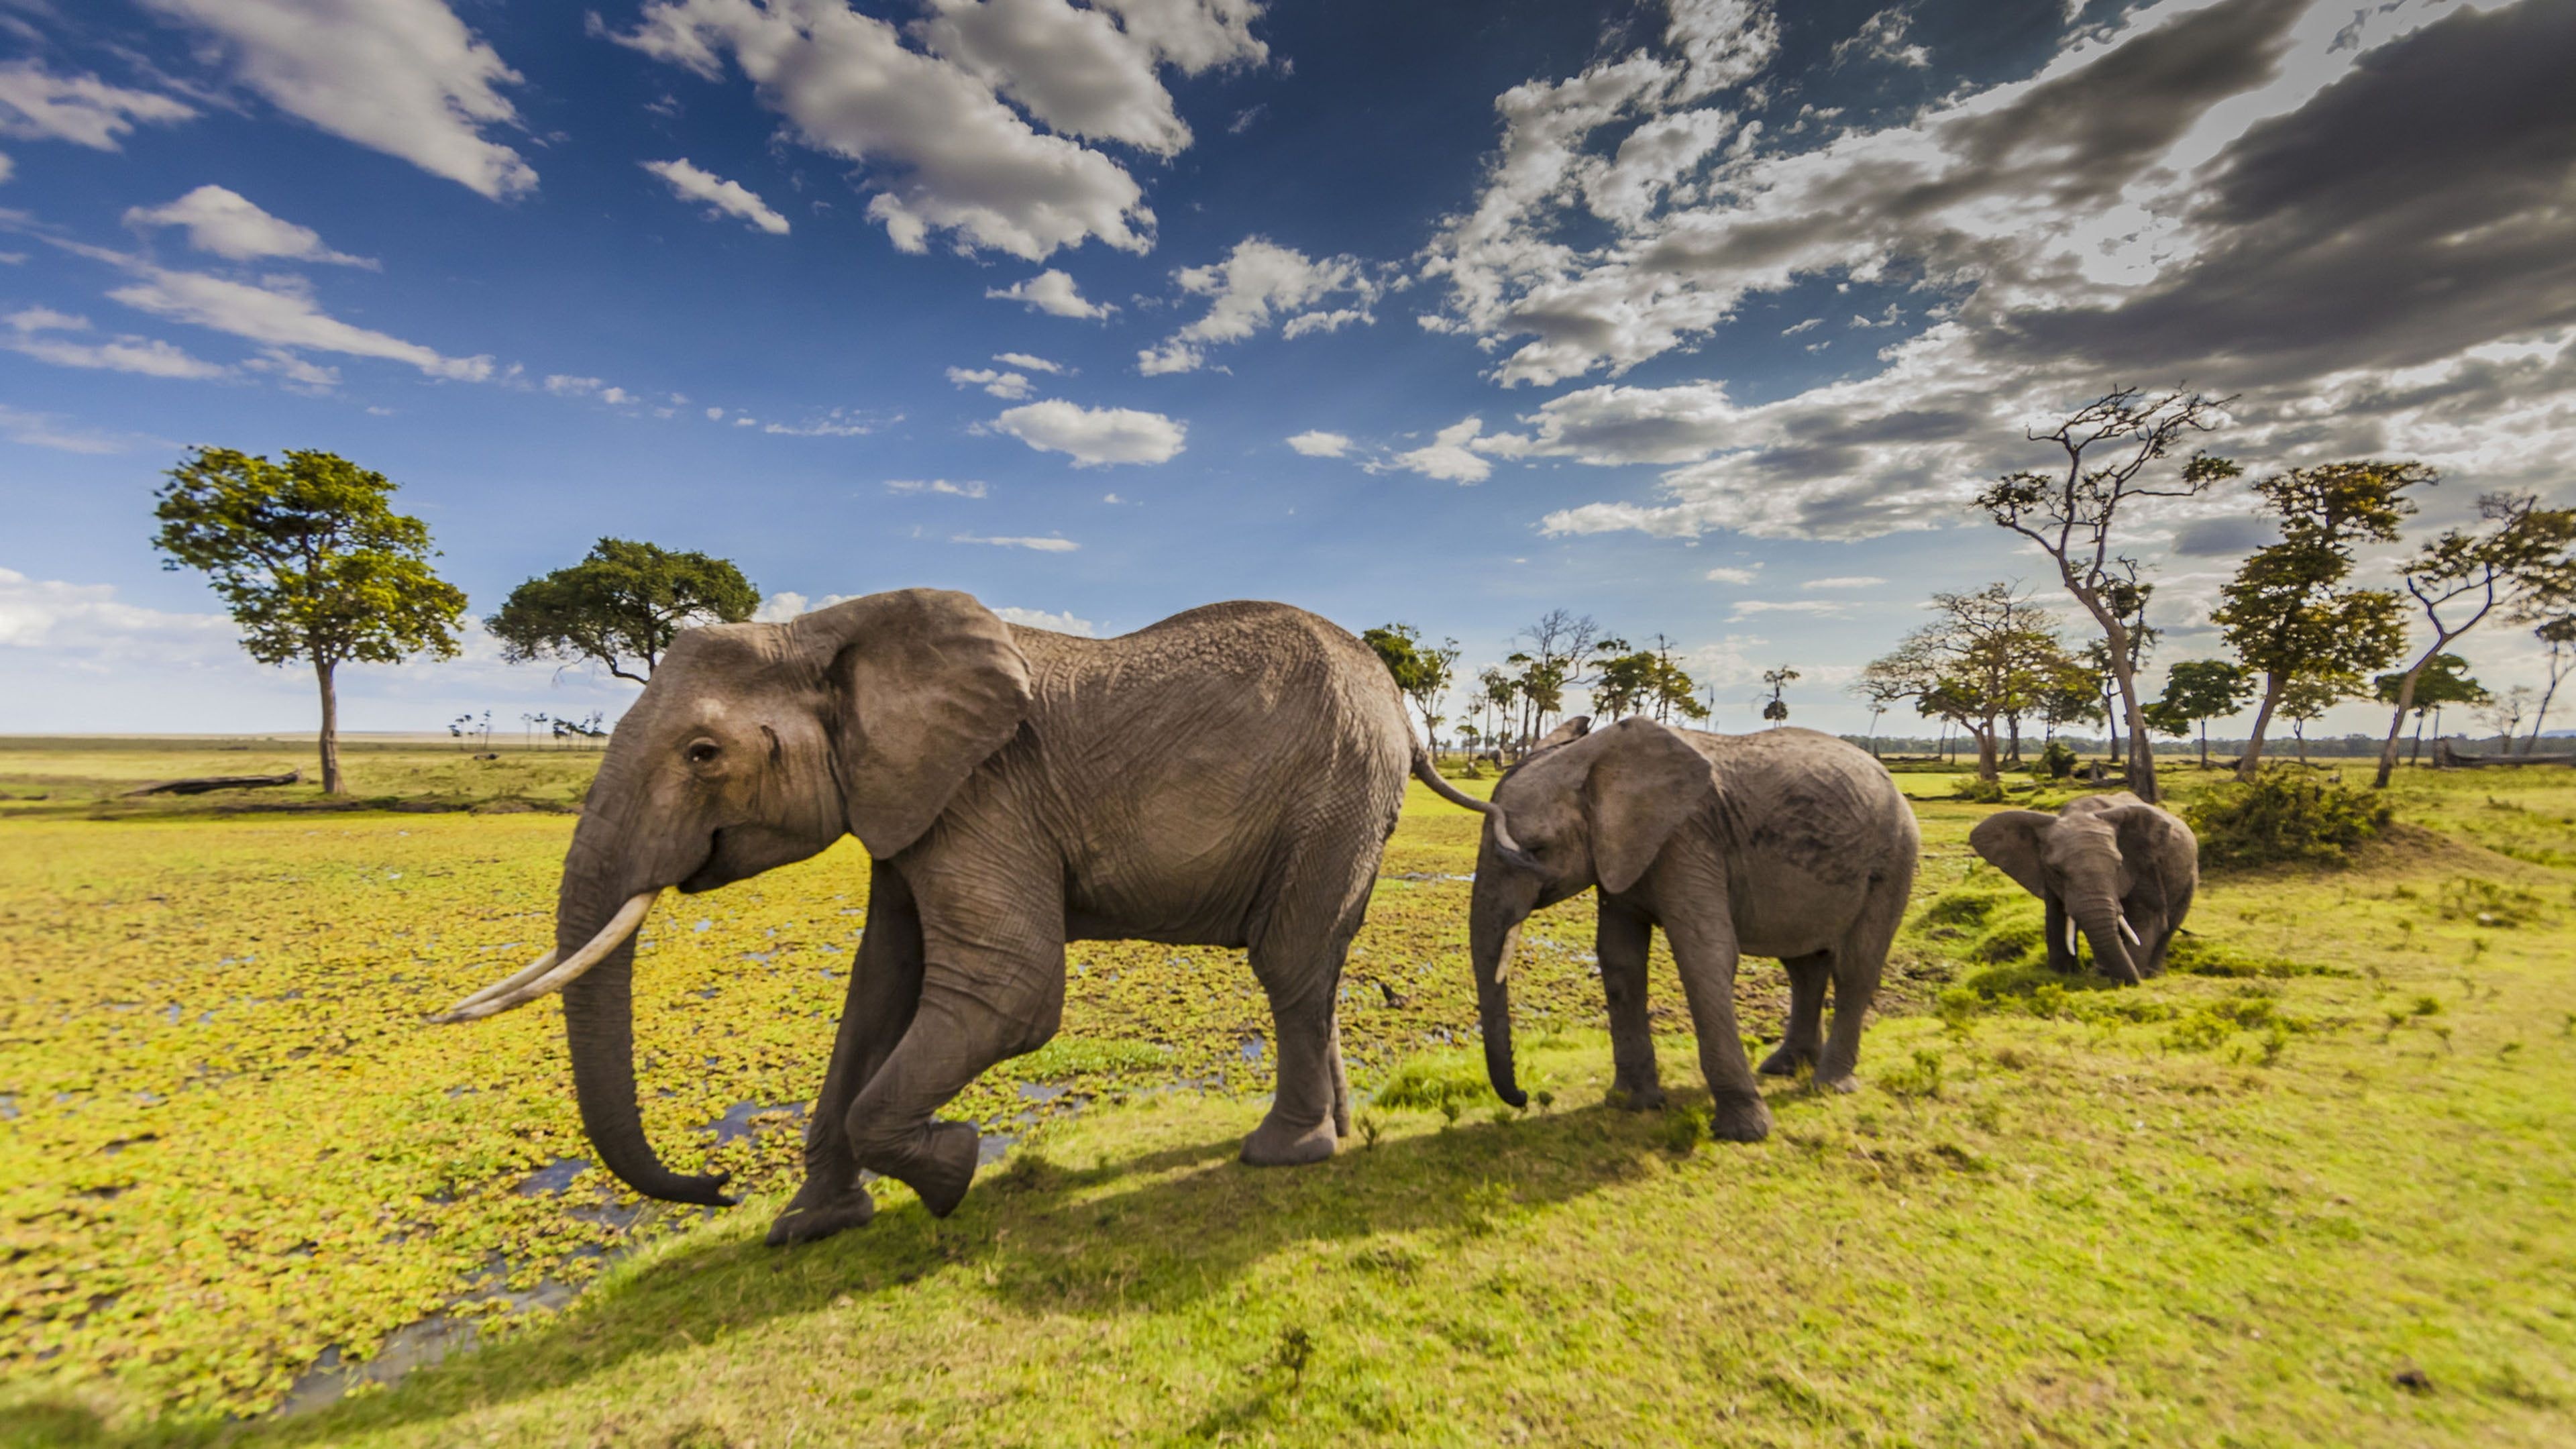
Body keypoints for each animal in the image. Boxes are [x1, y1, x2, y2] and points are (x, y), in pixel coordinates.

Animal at [433, 588, 1473, 1242]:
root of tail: (1399, 703)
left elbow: (1010, 990)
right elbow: (878, 986)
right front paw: (807, 1229)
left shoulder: (984, 789)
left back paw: (1281, 1156)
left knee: (1289, 963)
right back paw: (1335, 1139)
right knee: (1318, 969)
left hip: (1334, 791)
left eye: (701, 755)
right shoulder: (907, 801)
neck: (822, 631)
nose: (718, 1187)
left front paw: (955, 1170)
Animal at [1442, 711, 1927, 1139]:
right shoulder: (1621, 853)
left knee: (1854, 968)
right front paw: (1631, 1105)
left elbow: (1704, 953)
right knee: (1803, 967)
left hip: (1895, 856)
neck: (1595, 759)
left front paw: (1743, 1133)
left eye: (1538, 849)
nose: (1524, 1096)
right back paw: (1784, 1067)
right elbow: (1619, 958)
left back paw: (1828, 1085)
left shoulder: (1688, 837)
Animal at [1968, 789, 2194, 979]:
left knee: (2169, 927)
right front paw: (2062, 974)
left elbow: (2146, 919)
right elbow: (2056, 917)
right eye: (2057, 871)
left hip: (2189, 879)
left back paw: (2150, 975)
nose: (2132, 981)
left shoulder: (2143, 868)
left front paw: (2132, 978)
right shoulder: (2046, 876)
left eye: (2118, 866)